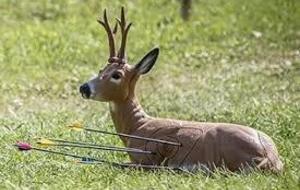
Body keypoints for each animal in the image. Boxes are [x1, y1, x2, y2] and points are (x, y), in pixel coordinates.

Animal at [78, 7, 282, 174]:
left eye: (117, 75)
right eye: (101, 70)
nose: (84, 87)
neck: (137, 126)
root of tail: (272, 158)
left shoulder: (148, 157)